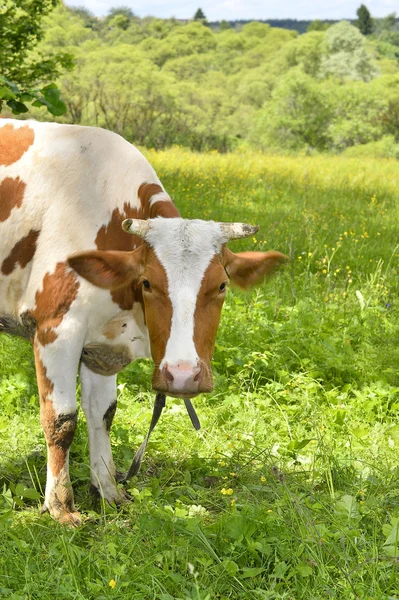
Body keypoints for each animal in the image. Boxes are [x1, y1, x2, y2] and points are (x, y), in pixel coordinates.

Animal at [0, 119, 288, 524]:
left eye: (222, 285)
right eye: (148, 282)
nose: (182, 375)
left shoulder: (102, 347)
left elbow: (102, 414)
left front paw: (108, 491)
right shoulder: (55, 329)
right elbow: (61, 420)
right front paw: (60, 507)